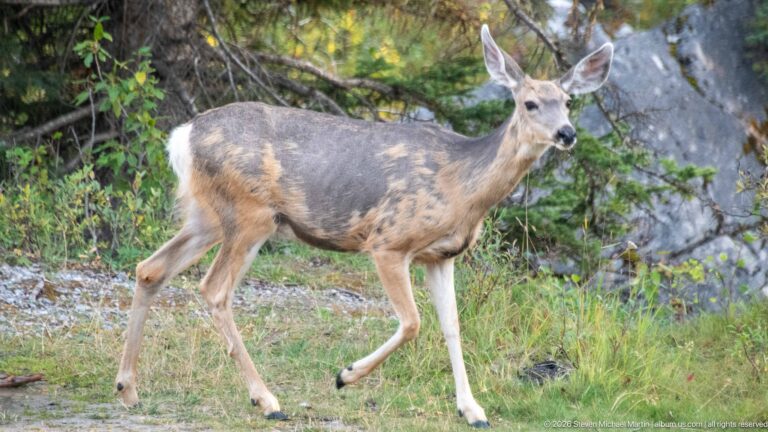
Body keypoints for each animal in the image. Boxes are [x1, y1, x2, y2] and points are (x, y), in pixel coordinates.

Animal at [115, 25, 613, 428]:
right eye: (530, 103)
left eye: (568, 102)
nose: (567, 133)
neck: (462, 185)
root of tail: (183, 136)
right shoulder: (388, 241)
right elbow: (412, 322)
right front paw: (345, 375)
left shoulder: (442, 255)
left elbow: (452, 326)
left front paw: (472, 410)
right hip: (250, 213)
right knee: (214, 290)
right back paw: (267, 399)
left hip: (208, 215)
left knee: (150, 269)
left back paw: (128, 388)